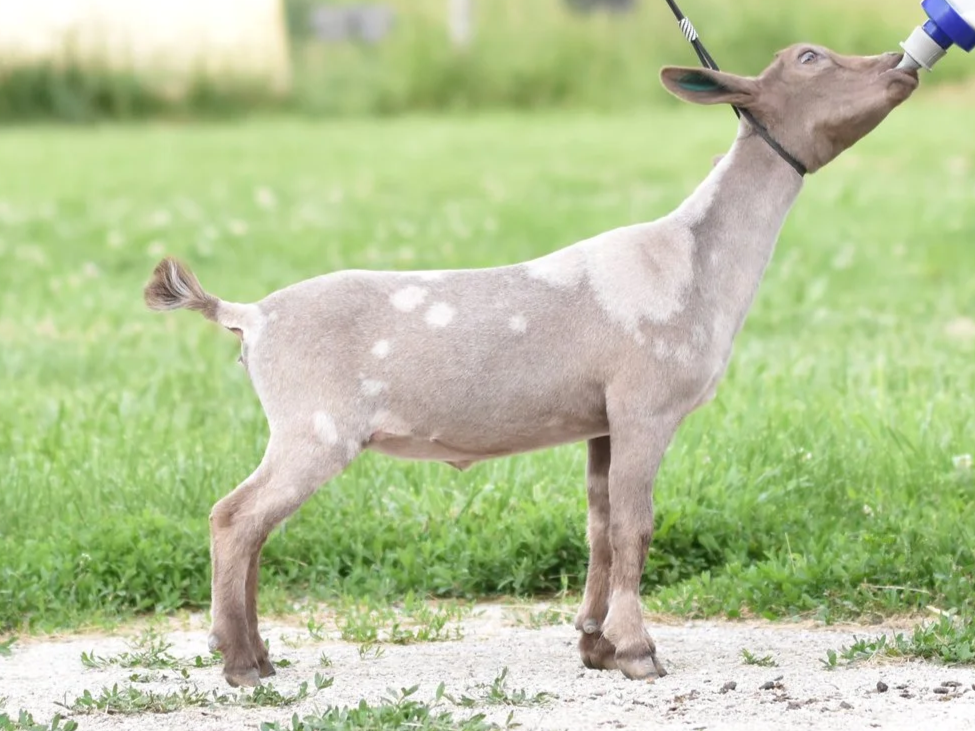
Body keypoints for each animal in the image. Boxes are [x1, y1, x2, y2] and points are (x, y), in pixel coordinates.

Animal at [144, 44, 918, 687]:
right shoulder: (645, 405)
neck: (691, 260)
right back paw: (241, 663)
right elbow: (636, 524)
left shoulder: (600, 419)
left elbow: (600, 525)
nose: (898, 63)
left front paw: (595, 643)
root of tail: (249, 316)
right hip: (314, 425)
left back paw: (255, 652)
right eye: (810, 58)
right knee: (234, 517)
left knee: (250, 525)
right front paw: (639, 651)